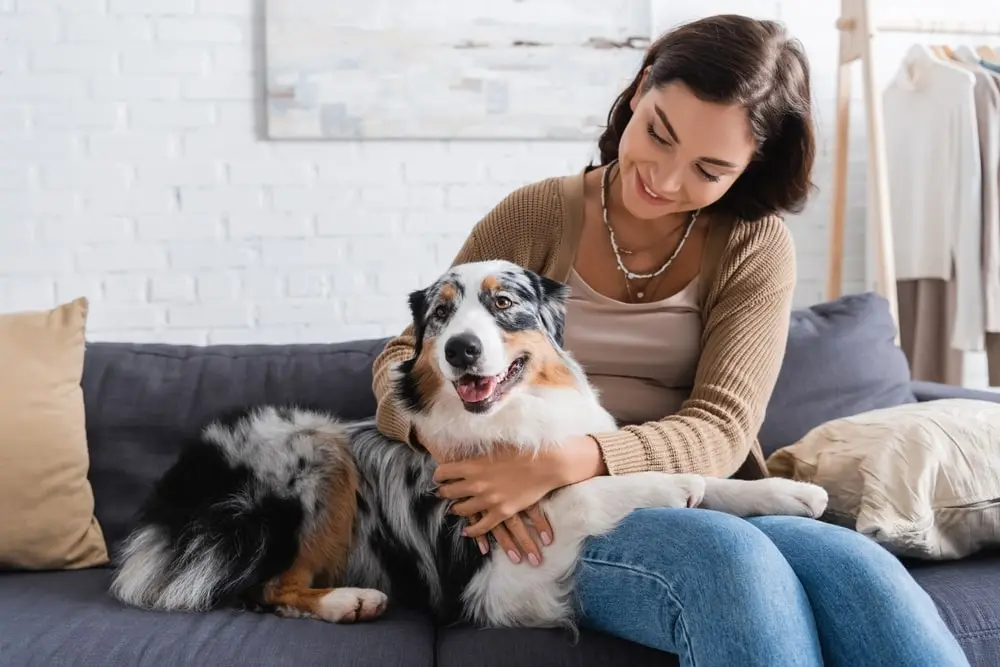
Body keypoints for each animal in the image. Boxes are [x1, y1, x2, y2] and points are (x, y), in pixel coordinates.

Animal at [109, 258, 828, 628]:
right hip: (312, 446)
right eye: (441, 314)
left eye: (503, 302)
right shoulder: (499, 574)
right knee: (264, 586)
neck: (513, 416)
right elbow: (585, 491)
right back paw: (350, 599)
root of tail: (174, 497)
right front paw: (668, 483)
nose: (461, 349)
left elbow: (707, 481)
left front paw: (788, 490)